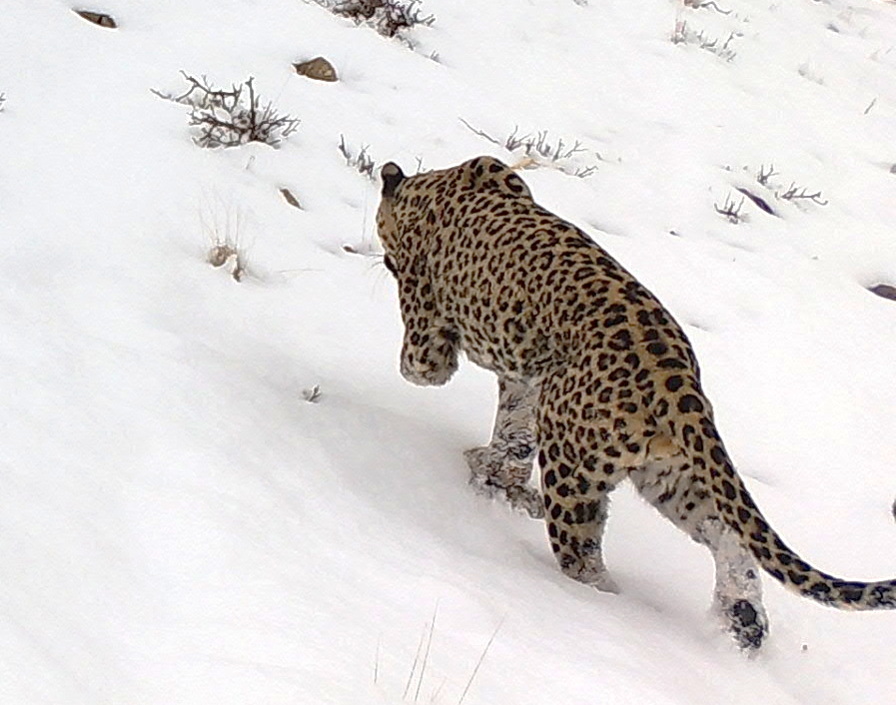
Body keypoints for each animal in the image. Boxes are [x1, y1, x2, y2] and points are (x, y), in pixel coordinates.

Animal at [375, 155, 896, 651]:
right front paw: (495, 469)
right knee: (725, 532)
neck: (436, 188)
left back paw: (596, 604)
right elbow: (515, 428)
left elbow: (423, 371)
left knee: (584, 558)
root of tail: (677, 378)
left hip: (573, 477)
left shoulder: (427, 331)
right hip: (669, 475)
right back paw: (742, 624)